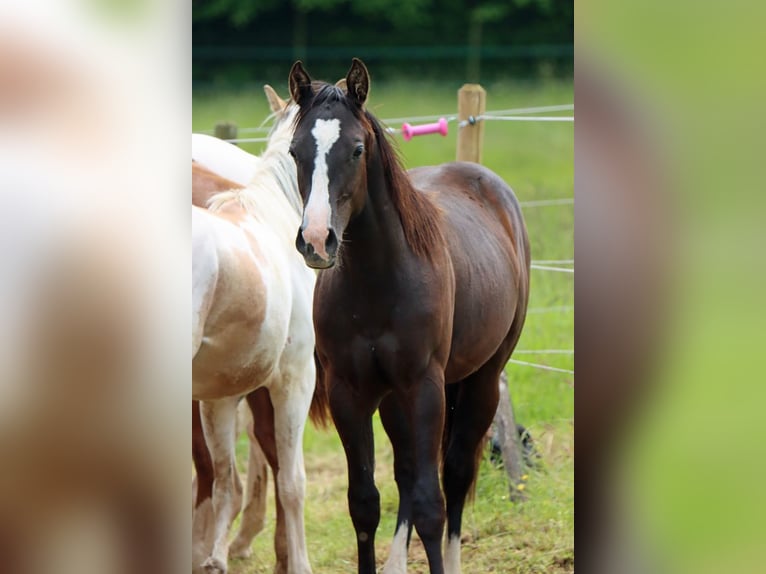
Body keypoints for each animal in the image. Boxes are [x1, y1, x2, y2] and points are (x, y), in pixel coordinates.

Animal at [290, 59, 536, 574]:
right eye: (295, 150)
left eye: (357, 149)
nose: (317, 240)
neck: (379, 281)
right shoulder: (350, 393)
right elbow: (365, 502)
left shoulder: (424, 387)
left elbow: (430, 504)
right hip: (394, 400)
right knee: (405, 472)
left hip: (482, 380)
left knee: (456, 473)